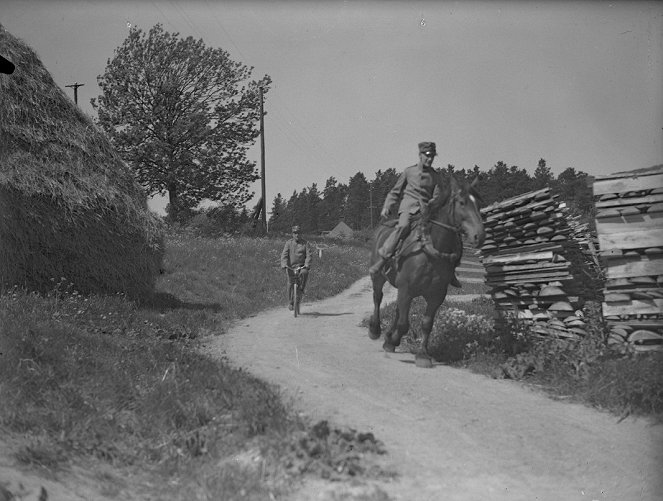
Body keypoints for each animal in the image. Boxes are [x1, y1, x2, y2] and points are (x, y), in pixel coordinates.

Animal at [366, 176, 486, 368]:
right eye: (462, 202)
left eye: (479, 204)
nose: (479, 236)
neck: (429, 252)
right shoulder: (406, 290)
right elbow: (404, 324)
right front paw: (393, 340)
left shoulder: (436, 295)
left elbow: (426, 324)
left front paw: (422, 354)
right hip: (378, 277)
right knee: (378, 298)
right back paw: (375, 329)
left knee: (397, 309)